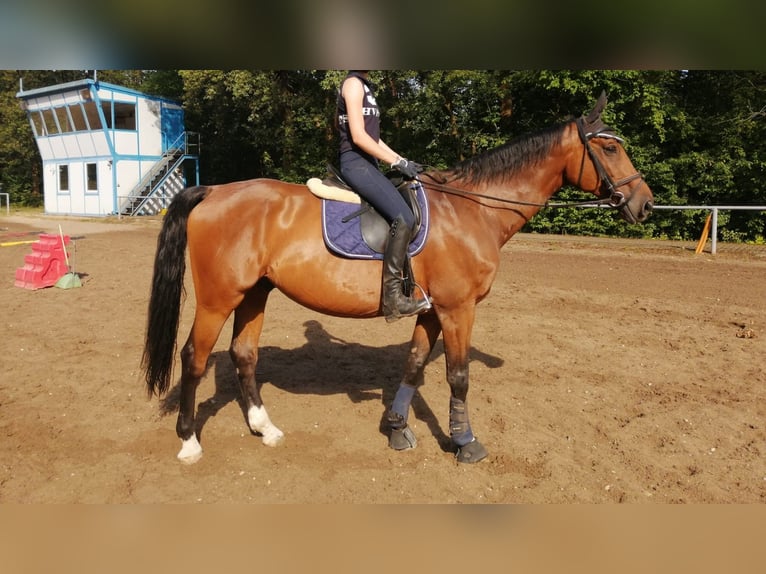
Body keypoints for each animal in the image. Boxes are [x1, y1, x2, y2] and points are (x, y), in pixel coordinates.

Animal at [142, 92, 656, 466]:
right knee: (193, 358)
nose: (646, 204)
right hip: (218, 297)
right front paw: (465, 443)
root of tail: (213, 191)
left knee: (243, 355)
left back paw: (264, 428)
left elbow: (412, 366)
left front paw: (396, 429)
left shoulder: (432, 309)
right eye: (610, 147)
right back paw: (189, 443)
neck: (471, 209)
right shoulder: (457, 309)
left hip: (254, 293)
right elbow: (458, 376)